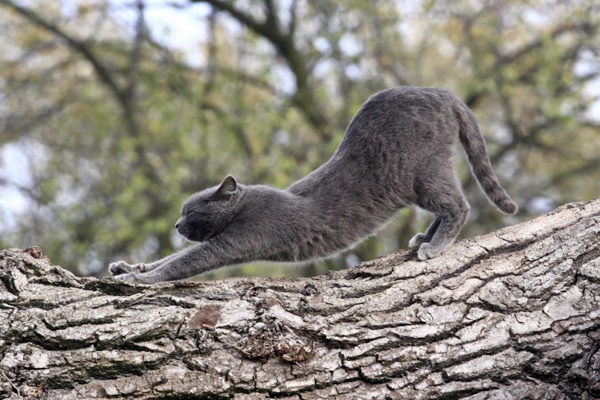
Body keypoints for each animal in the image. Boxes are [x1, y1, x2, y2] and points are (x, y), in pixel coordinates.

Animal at [110, 86, 516, 282]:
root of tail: (445, 94)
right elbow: (171, 256)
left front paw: (139, 281)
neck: (243, 207)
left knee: (458, 205)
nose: (177, 224)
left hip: (423, 172)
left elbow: (182, 262)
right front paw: (131, 269)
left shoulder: (234, 241)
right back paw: (424, 239)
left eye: (191, 211)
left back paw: (434, 246)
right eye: (180, 212)